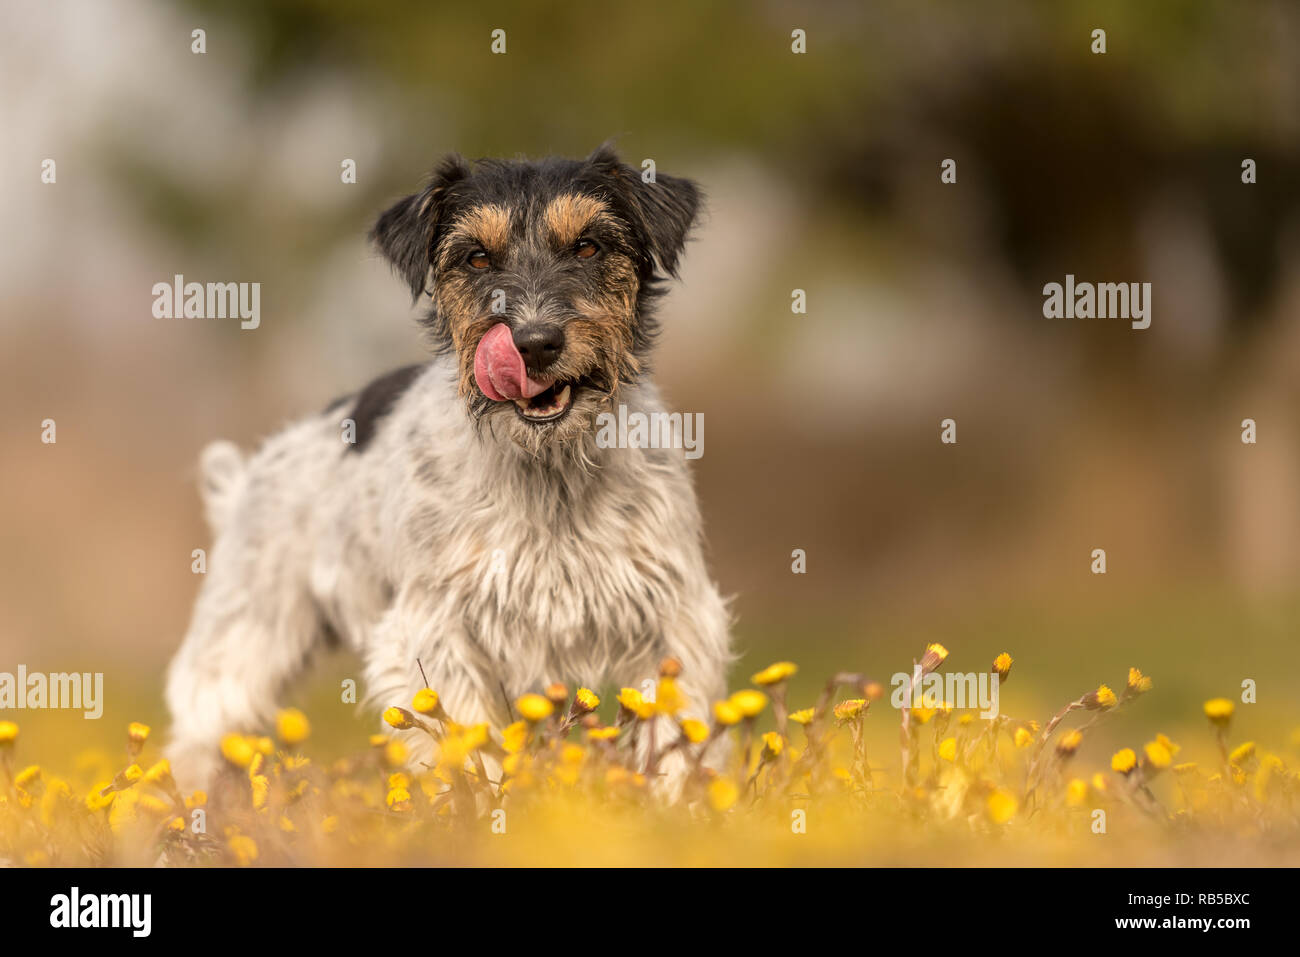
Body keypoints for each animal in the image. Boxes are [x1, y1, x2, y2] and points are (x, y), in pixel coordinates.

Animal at [162, 140, 733, 785]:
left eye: (589, 246)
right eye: (477, 257)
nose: (534, 343)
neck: (550, 472)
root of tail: (245, 480)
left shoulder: (675, 614)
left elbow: (677, 734)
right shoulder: (435, 630)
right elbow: (466, 741)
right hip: (241, 647)